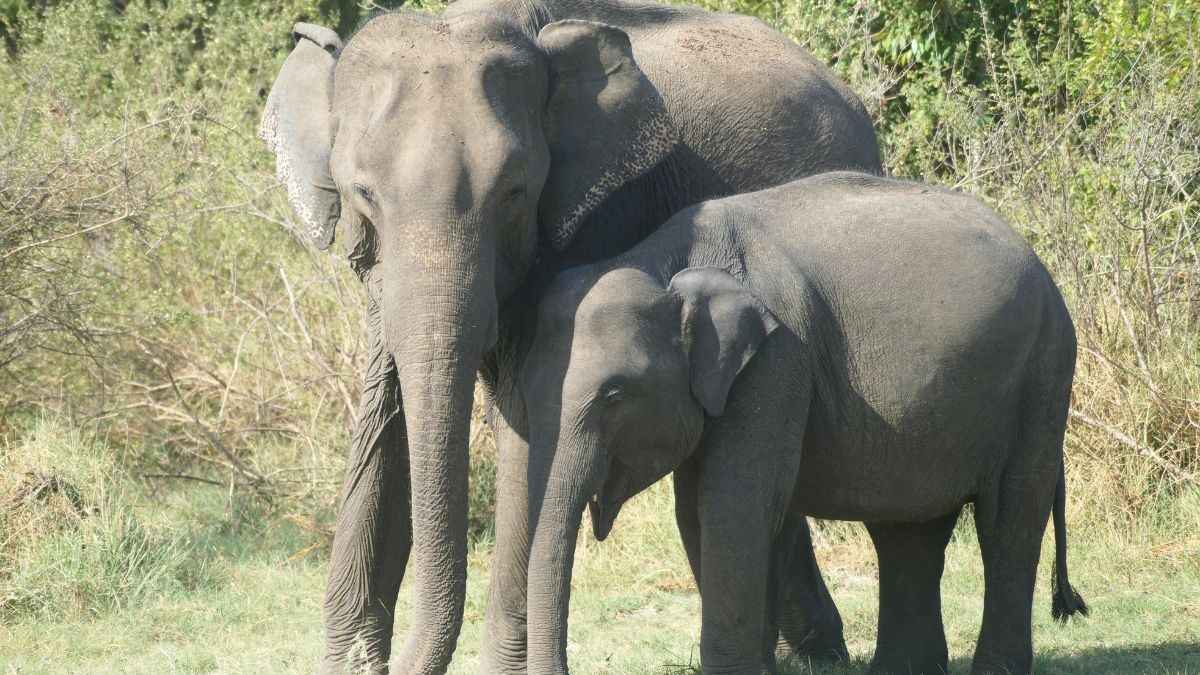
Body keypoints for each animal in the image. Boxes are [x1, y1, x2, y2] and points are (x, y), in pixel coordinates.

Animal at [259, 1, 880, 671]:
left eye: (515, 191)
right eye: (362, 194)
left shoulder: (589, 221)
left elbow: (522, 418)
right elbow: (386, 404)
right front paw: (352, 659)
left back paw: (817, 653)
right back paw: (809, 653)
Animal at [520, 172, 1089, 675]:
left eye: (614, 395)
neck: (665, 258)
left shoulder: (778, 362)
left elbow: (734, 506)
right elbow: (701, 512)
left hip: (1043, 372)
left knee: (1008, 520)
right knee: (908, 530)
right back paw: (899, 670)